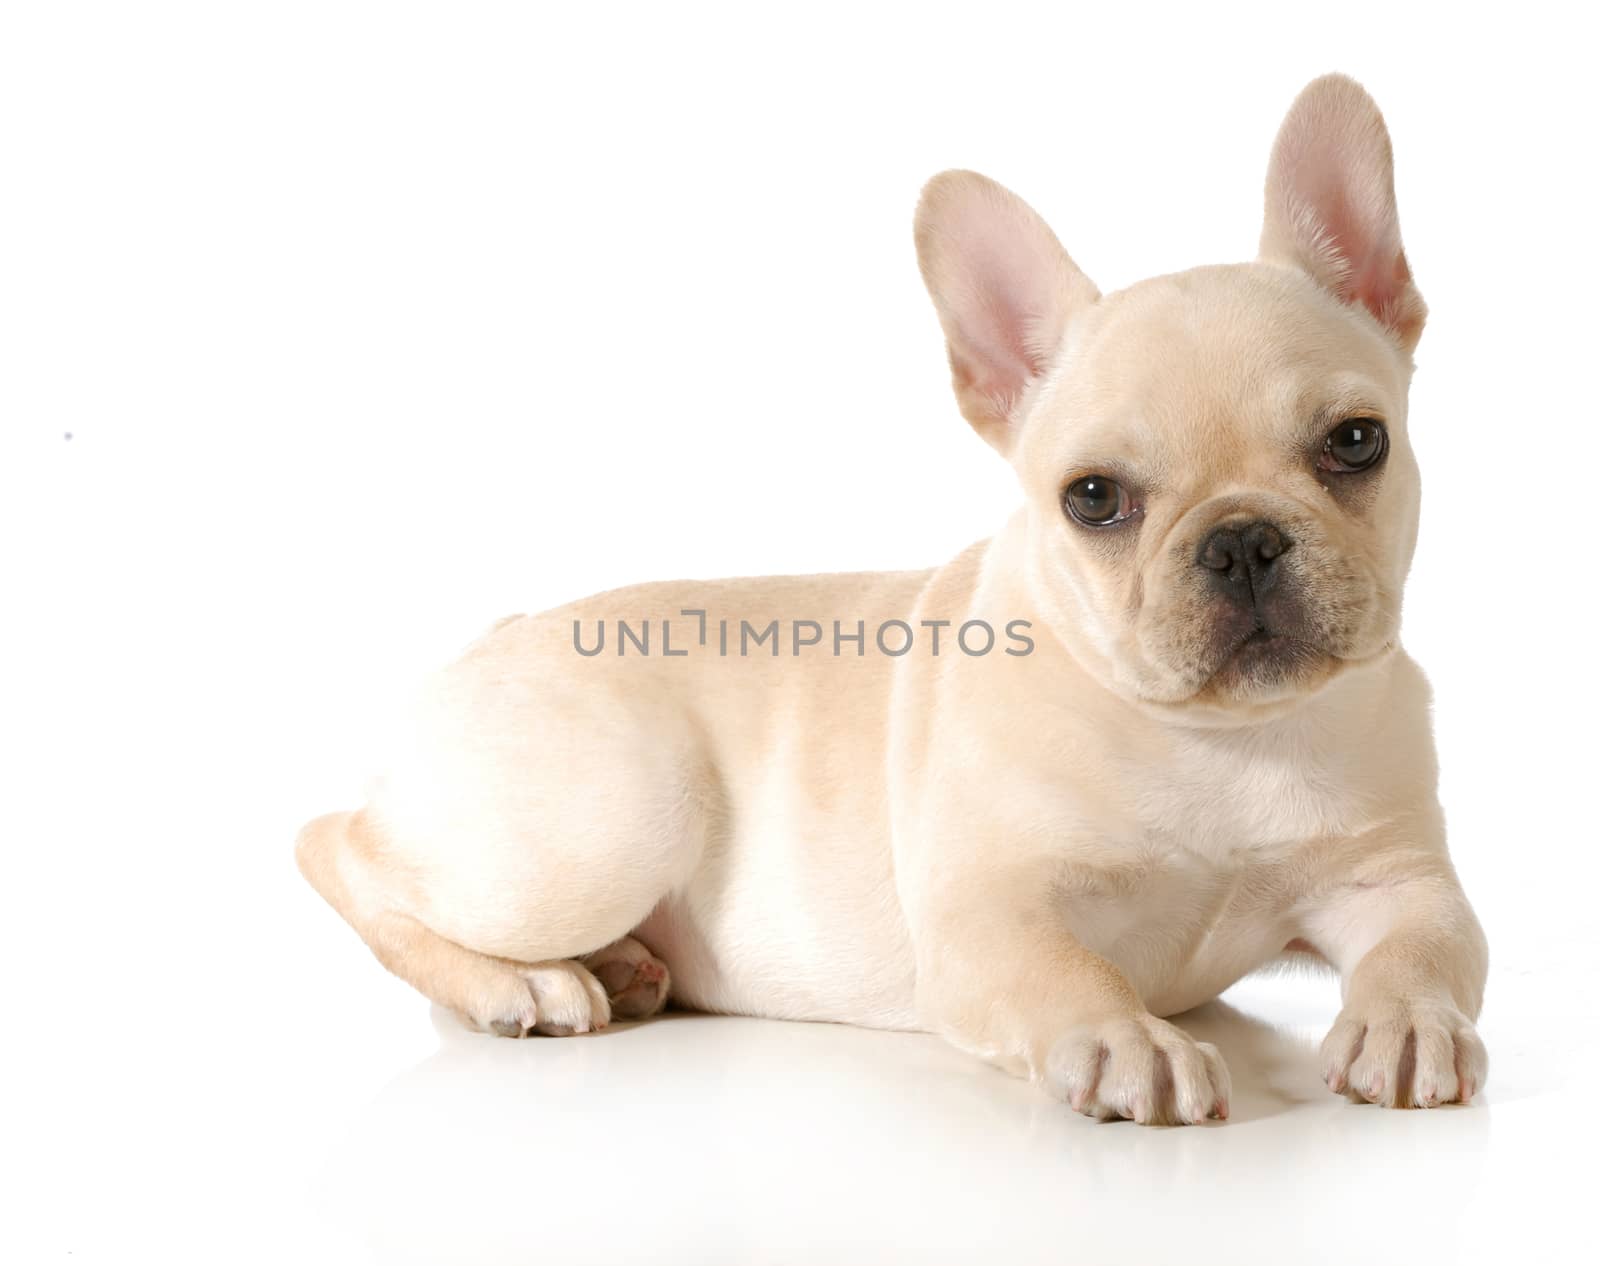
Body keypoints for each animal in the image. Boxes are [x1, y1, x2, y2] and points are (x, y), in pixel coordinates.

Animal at [297, 74, 1484, 1126]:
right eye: (1093, 498)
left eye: (1355, 442)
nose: (1240, 541)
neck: (1221, 743)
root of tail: (484, 643)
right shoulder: (987, 915)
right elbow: (1068, 974)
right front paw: (1125, 1040)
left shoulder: (1399, 878)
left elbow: (1431, 946)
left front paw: (1408, 1022)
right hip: (606, 824)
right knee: (342, 850)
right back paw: (520, 983)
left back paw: (624, 967)